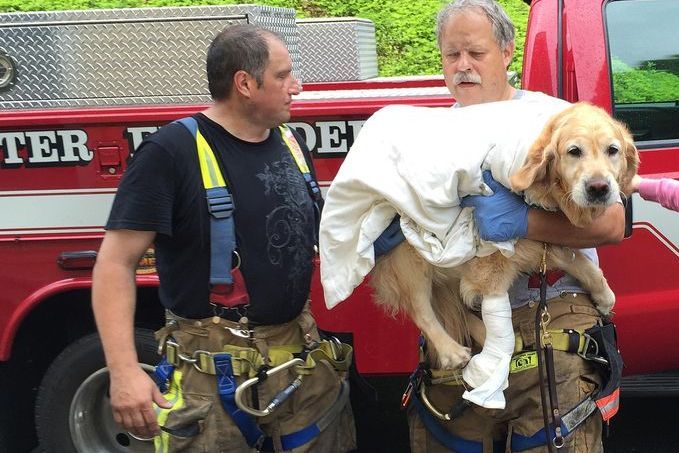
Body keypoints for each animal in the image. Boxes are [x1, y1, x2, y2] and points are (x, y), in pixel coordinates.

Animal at [370, 102, 640, 368]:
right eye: (574, 151)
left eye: (612, 150)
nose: (598, 188)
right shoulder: (490, 259)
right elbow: (494, 297)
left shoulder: (539, 243)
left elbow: (582, 263)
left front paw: (604, 297)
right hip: (409, 260)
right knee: (421, 309)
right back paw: (452, 352)